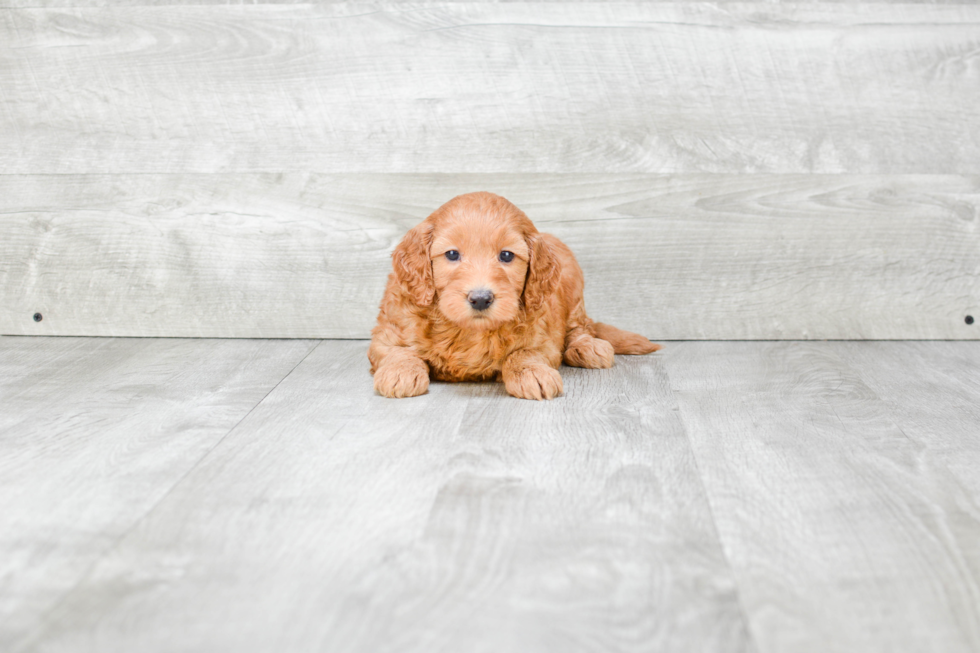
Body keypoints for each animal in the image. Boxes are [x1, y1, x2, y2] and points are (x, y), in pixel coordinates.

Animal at [372, 191, 664, 400]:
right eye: (452, 254)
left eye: (506, 255)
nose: (481, 298)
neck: (470, 331)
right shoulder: (387, 334)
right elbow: (399, 351)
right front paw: (400, 371)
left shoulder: (544, 338)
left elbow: (524, 352)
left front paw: (530, 373)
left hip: (573, 283)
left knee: (580, 326)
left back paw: (587, 346)